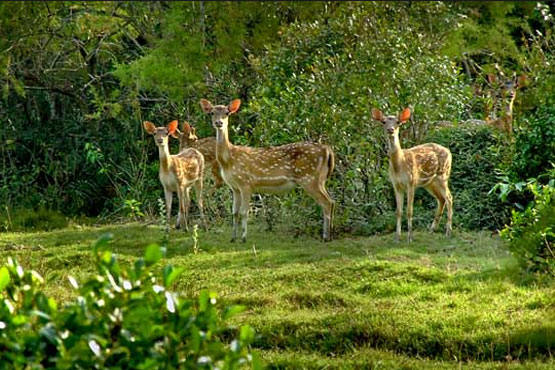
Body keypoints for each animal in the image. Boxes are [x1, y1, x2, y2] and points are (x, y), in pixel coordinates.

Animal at [202, 98, 336, 243]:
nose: (219, 123)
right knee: (331, 201)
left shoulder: (246, 183)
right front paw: (233, 238)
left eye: (227, 113)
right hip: (319, 179)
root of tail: (327, 150)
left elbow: (244, 212)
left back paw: (326, 236)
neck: (228, 160)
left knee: (327, 202)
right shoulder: (235, 187)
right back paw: (329, 233)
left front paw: (243, 238)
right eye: (212, 113)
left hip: (309, 178)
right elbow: (235, 212)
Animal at [374, 106, 452, 243]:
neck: (399, 164)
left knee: (449, 198)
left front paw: (410, 238)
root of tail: (449, 152)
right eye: (383, 122)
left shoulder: (411, 182)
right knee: (441, 199)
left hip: (443, 175)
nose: (390, 129)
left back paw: (448, 231)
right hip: (430, 183)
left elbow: (409, 211)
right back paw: (432, 229)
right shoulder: (396, 185)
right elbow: (399, 211)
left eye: (398, 122)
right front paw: (397, 238)